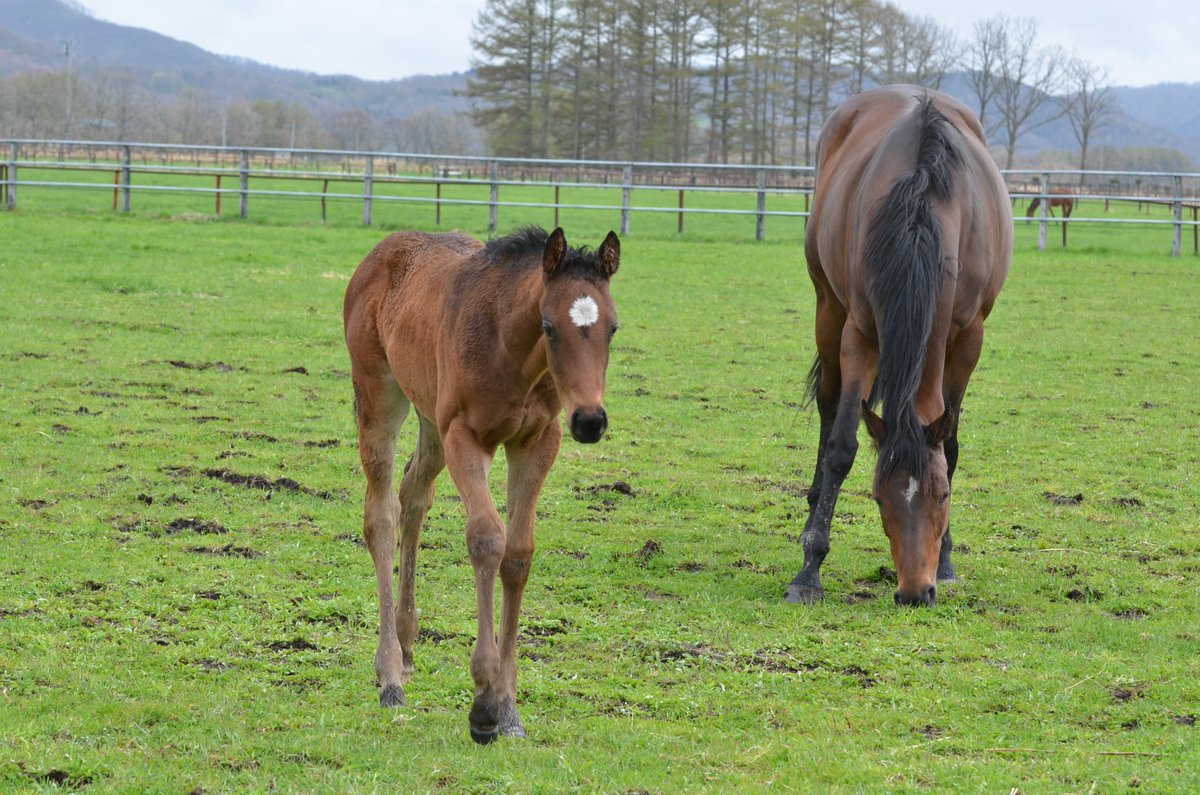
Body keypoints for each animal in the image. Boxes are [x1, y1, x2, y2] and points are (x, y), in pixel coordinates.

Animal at [343, 225, 619, 742]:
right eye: (549, 326)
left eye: (613, 328)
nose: (590, 421)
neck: (510, 350)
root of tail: (381, 251)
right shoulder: (465, 437)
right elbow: (487, 539)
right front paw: (484, 705)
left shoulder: (538, 440)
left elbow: (518, 553)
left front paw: (509, 707)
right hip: (379, 395)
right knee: (382, 515)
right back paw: (389, 674)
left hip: (429, 413)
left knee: (414, 494)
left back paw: (407, 646)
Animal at [786, 85, 1012, 607]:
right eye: (878, 496)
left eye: (942, 496)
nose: (914, 593)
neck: (921, 212)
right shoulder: (860, 334)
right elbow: (841, 447)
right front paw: (809, 570)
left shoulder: (969, 338)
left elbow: (950, 445)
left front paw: (947, 563)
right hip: (827, 307)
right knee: (828, 406)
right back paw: (812, 511)